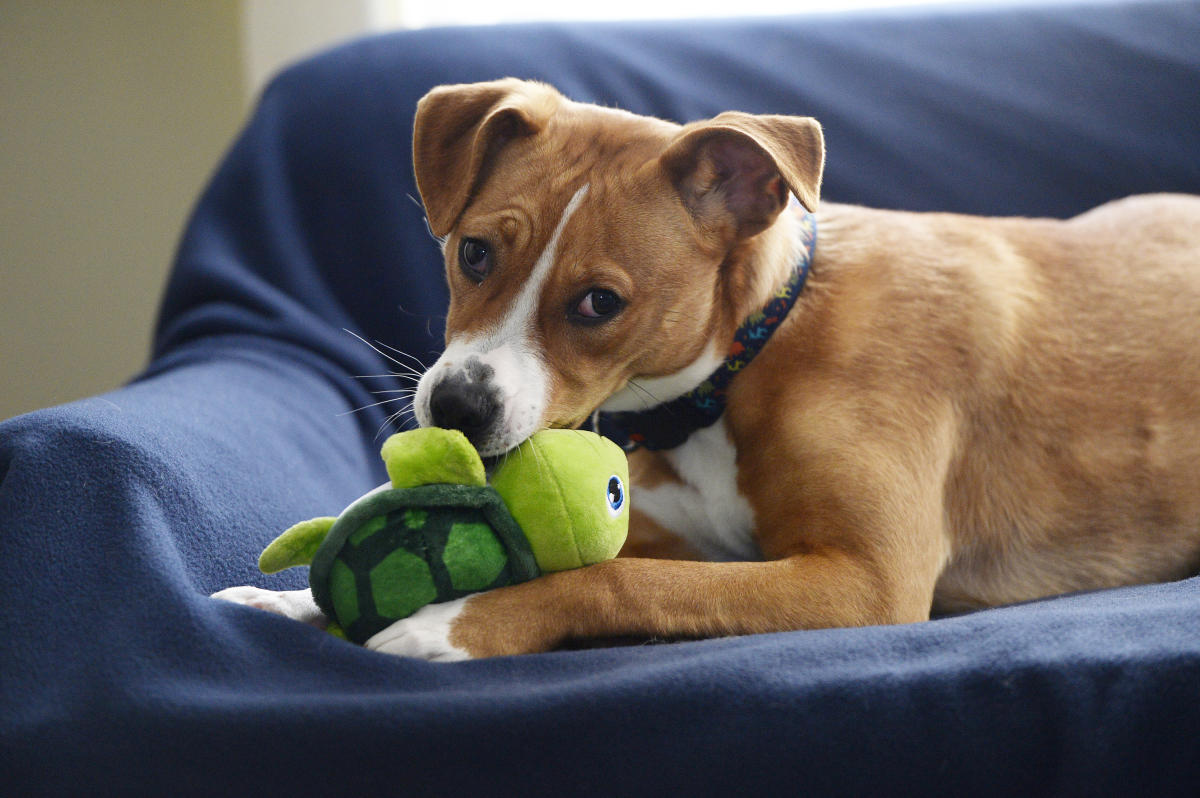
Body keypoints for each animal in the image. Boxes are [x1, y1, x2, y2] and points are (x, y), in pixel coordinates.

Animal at [216, 79, 1200, 657]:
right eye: (474, 254)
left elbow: (615, 579)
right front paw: (291, 604)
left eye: (599, 303)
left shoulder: (864, 577)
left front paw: (451, 623)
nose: (456, 407)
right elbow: (583, 560)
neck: (751, 358)